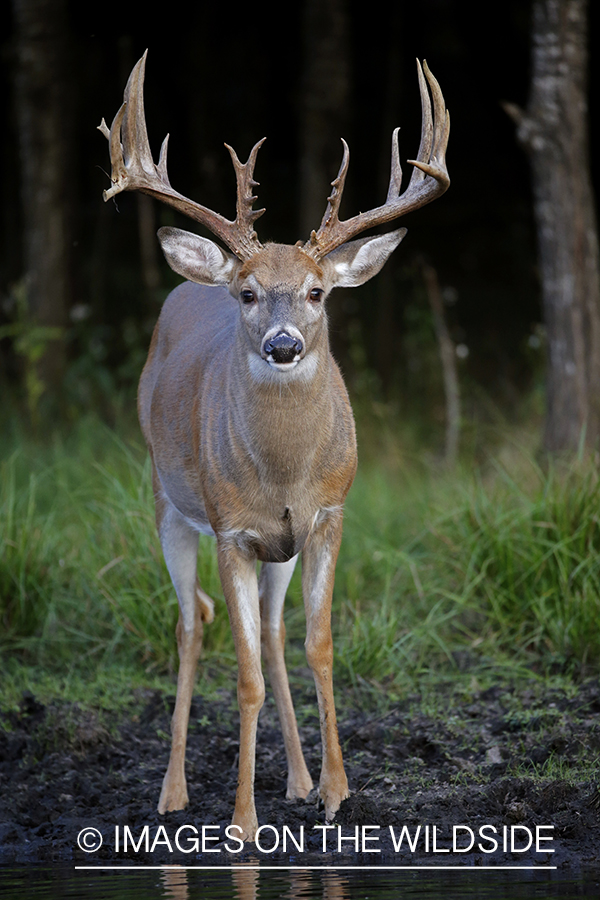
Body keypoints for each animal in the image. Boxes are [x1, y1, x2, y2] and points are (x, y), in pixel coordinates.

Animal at [98, 52, 448, 840]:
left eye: (318, 292)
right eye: (251, 293)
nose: (283, 345)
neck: (285, 475)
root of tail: (190, 284)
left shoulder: (326, 516)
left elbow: (316, 645)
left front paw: (335, 792)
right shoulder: (233, 530)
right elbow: (245, 676)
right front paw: (240, 823)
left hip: (274, 550)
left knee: (268, 627)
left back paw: (296, 777)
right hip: (164, 499)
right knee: (191, 621)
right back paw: (172, 792)